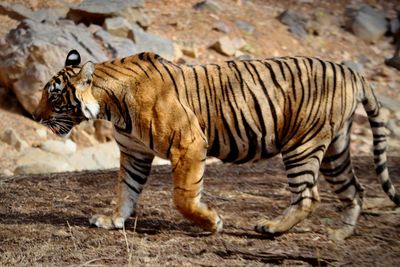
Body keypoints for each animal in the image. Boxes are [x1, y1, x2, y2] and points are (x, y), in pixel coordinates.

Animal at [32, 49, 398, 241]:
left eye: (54, 96)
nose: (35, 116)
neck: (110, 104)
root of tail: (352, 72)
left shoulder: (189, 143)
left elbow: (183, 197)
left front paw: (212, 223)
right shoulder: (135, 154)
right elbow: (125, 190)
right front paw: (113, 221)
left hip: (303, 145)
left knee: (309, 195)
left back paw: (271, 228)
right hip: (336, 147)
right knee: (355, 190)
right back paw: (340, 234)